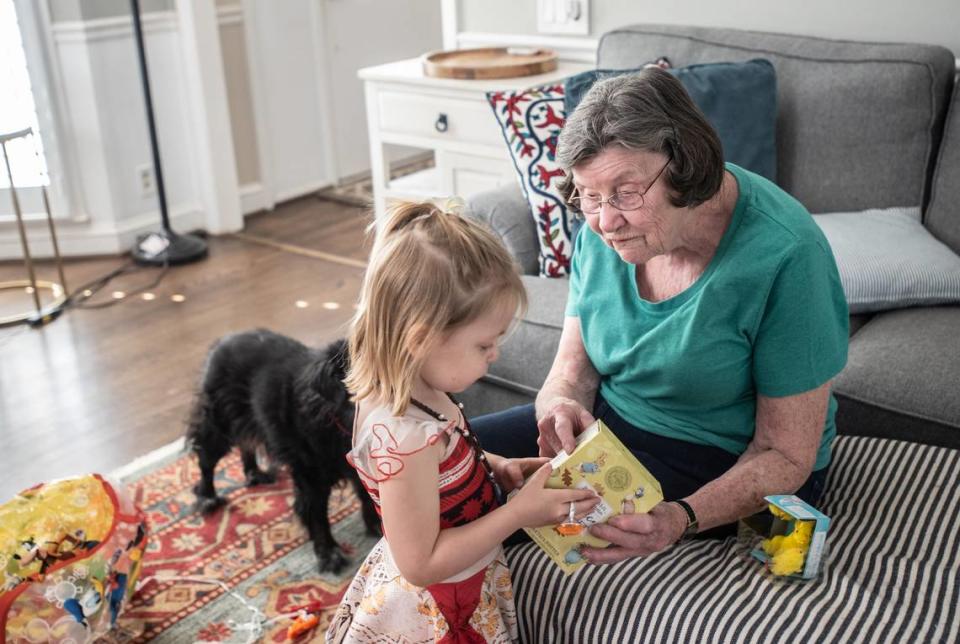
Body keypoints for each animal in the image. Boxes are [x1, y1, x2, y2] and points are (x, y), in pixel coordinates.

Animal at [186, 330, 380, 572]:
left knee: (245, 443)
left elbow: (366, 495)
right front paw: (329, 553)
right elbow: (316, 513)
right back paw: (207, 497)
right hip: (219, 421)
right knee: (206, 459)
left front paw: (377, 527)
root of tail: (223, 340)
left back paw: (254, 473)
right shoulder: (310, 475)